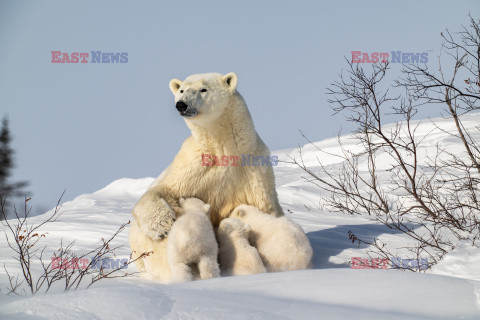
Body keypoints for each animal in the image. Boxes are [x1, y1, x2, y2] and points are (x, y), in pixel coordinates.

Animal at [128, 72, 284, 282]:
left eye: (203, 89)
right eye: (181, 90)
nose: (181, 104)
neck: (223, 148)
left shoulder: (254, 169)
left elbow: (264, 208)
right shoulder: (192, 166)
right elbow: (163, 190)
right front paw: (162, 225)